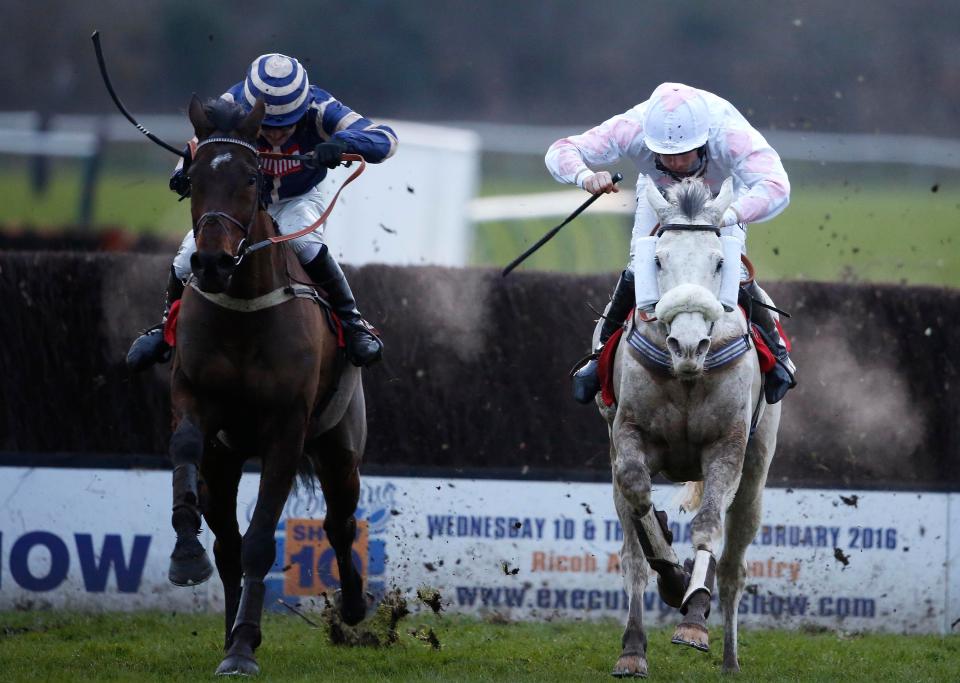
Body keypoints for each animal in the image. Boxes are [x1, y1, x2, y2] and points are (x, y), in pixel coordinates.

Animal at [166, 96, 368, 680]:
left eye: (252, 177)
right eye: (193, 177)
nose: (211, 262)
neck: (242, 312)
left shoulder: (286, 431)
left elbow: (261, 543)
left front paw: (242, 648)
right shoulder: (196, 405)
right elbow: (185, 448)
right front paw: (186, 556)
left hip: (339, 447)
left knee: (339, 523)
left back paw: (353, 607)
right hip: (226, 463)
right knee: (228, 545)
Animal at [604, 178, 784, 680]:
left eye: (719, 260)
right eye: (658, 260)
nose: (687, 343)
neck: (686, 373)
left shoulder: (728, 446)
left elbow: (707, 528)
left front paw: (695, 620)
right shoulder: (627, 437)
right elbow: (639, 505)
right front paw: (670, 582)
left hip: (756, 470)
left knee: (734, 565)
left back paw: (729, 657)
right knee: (633, 549)